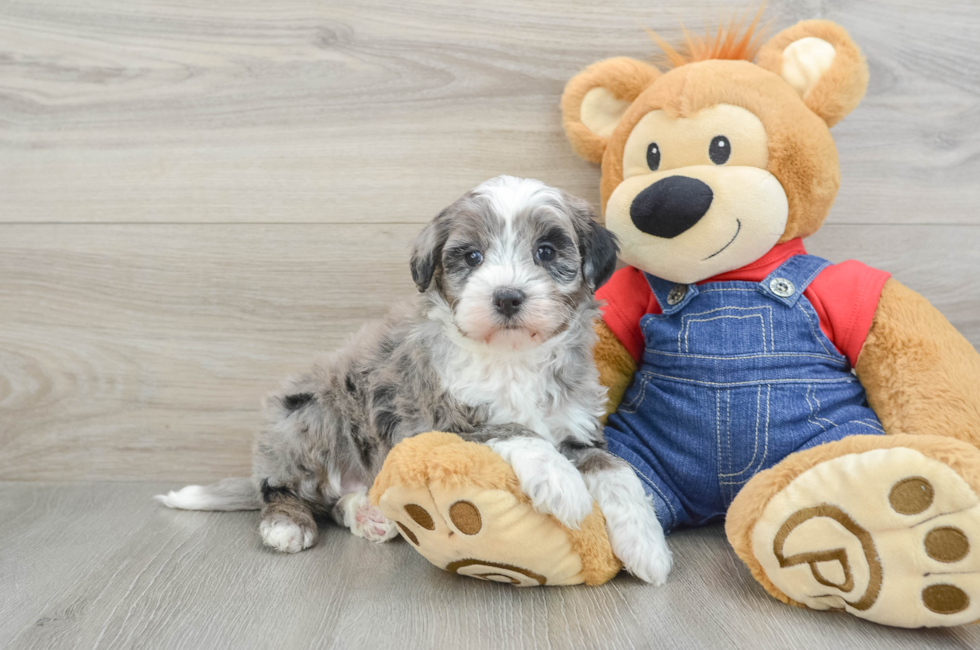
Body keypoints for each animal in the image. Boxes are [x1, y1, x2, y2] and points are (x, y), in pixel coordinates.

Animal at [157, 173, 668, 584]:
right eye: (473, 256)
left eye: (546, 252)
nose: (507, 297)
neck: (511, 357)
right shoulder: (434, 422)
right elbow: (513, 428)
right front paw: (562, 483)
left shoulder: (577, 427)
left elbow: (615, 470)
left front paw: (646, 544)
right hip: (308, 414)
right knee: (285, 489)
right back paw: (286, 524)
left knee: (335, 500)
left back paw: (368, 515)